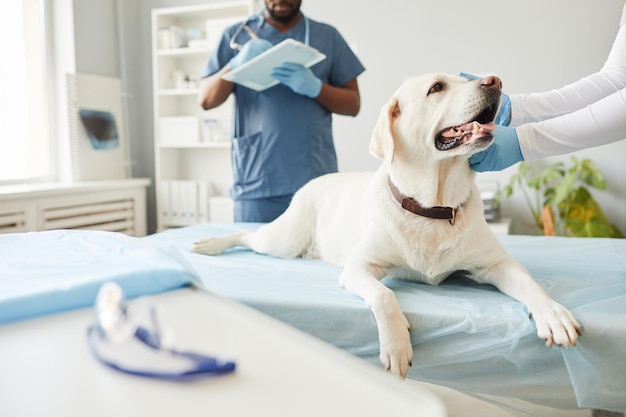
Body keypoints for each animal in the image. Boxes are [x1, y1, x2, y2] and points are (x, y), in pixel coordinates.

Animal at [191, 73, 580, 378]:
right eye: (437, 87)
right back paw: (208, 243)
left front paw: (553, 314)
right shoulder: (358, 267)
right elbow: (383, 294)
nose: (495, 81)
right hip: (283, 240)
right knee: (247, 234)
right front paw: (396, 345)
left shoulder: (496, 264)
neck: (432, 208)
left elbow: (531, 285)